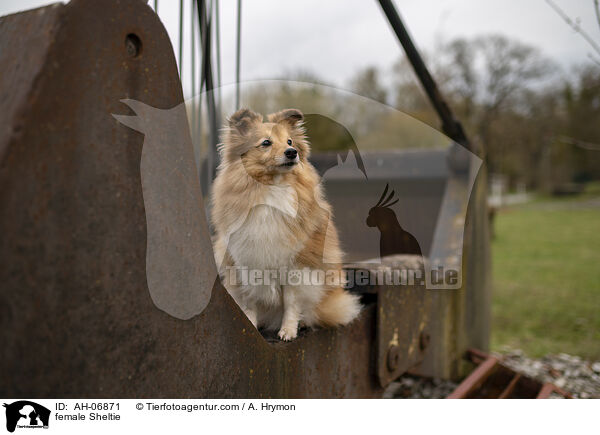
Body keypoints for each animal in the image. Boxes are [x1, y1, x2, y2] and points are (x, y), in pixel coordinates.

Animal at [211, 108, 360, 340]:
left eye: (290, 141)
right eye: (266, 142)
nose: (292, 152)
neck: (272, 187)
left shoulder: (296, 266)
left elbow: (292, 302)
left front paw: (288, 331)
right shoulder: (244, 263)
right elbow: (250, 300)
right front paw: (251, 325)